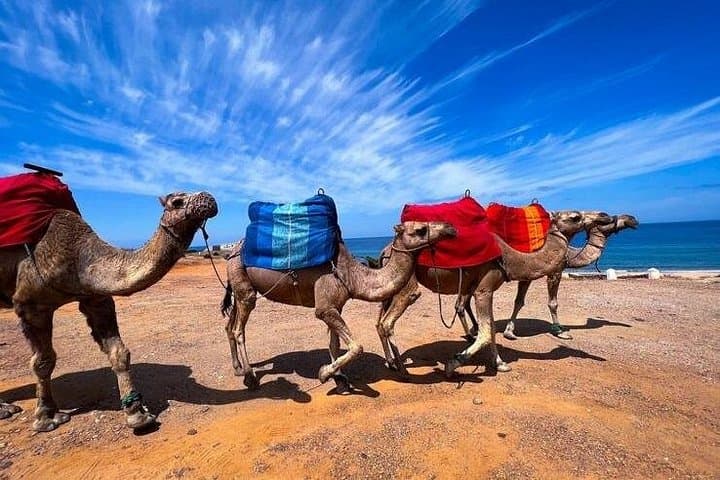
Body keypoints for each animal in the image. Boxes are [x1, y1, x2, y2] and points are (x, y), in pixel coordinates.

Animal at [0, 191, 218, 431]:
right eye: (177, 201)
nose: (208, 197)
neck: (79, 256)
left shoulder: (96, 297)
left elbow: (119, 352)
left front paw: (137, 415)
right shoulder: (31, 304)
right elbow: (44, 361)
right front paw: (47, 417)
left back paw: (6, 409)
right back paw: (6, 410)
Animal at [221, 221, 457, 393]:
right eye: (420, 229)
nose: (450, 228)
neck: (352, 276)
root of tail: (231, 250)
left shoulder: (335, 305)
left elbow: (334, 344)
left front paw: (340, 378)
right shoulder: (324, 307)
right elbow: (357, 346)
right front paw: (325, 374)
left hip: (238, 287)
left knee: (229, 325)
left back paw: (237, 368)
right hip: (243, 283)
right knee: (239, 328)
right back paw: (250, 377)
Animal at [376, 211, 615, 377]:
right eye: (575, 216)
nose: (605, 215)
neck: (509, 257)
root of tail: (386, 251)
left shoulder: (483, 290)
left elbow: (490, 327)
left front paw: (500, 363)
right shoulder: (484, 288)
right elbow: (485, 331)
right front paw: (452, 364)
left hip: (390, 290)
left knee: (379, 323)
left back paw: (391, 363)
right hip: (407, 286)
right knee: (388, 322)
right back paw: (402, 369)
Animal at [501, 213, 639, 340]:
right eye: (608, 220)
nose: (632, 219)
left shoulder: (528, 274)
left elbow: (519, 301)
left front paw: (509, 332)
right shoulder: (555, 272)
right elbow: (553, 303)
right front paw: (560, 331)